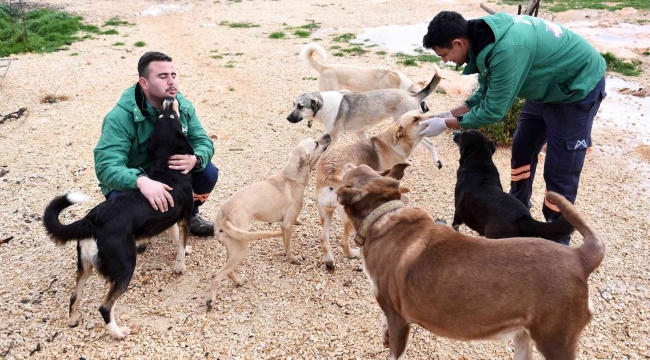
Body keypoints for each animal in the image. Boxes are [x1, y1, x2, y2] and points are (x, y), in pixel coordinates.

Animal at [42, 97, 194, 338]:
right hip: (125, 268)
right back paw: (117, 332)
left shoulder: (170, 213)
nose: (170, 99)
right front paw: (180, 265)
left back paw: (74, 321)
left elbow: (175, 235)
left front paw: (183, 248)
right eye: (171, 116)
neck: (166, 164)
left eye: (164, 116)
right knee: (105, 307)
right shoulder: (185, 216)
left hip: (85, 267)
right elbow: (179, 243)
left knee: (75, 296)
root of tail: (92, 220)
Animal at [206, 134, 332, 308]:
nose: (328, 135)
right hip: (241, 250)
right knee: (216, 276)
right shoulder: (286, 226)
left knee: (228, 271)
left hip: (233, 249)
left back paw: (238, 281)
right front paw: (293, 259)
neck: (291, 176)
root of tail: (223, 216)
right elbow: (288, 247)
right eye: (316, 144)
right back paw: (211, 299)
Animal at [312, 111, 430, 268]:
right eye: (415, 119)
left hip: (326, 214)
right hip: (349, 219)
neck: (394, 144)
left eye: (421, 113)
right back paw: (352, 254)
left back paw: (329, 261)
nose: (434, 117)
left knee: (323, 238)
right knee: (343, 242)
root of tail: (331, 176)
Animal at [336, 163, 604, 360]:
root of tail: (580, 257)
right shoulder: (389, 309)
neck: (381, 216)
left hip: (555, 341)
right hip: (524, 336)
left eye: (350, 174)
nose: (346, 161)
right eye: (363, 167)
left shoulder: (399, 319)